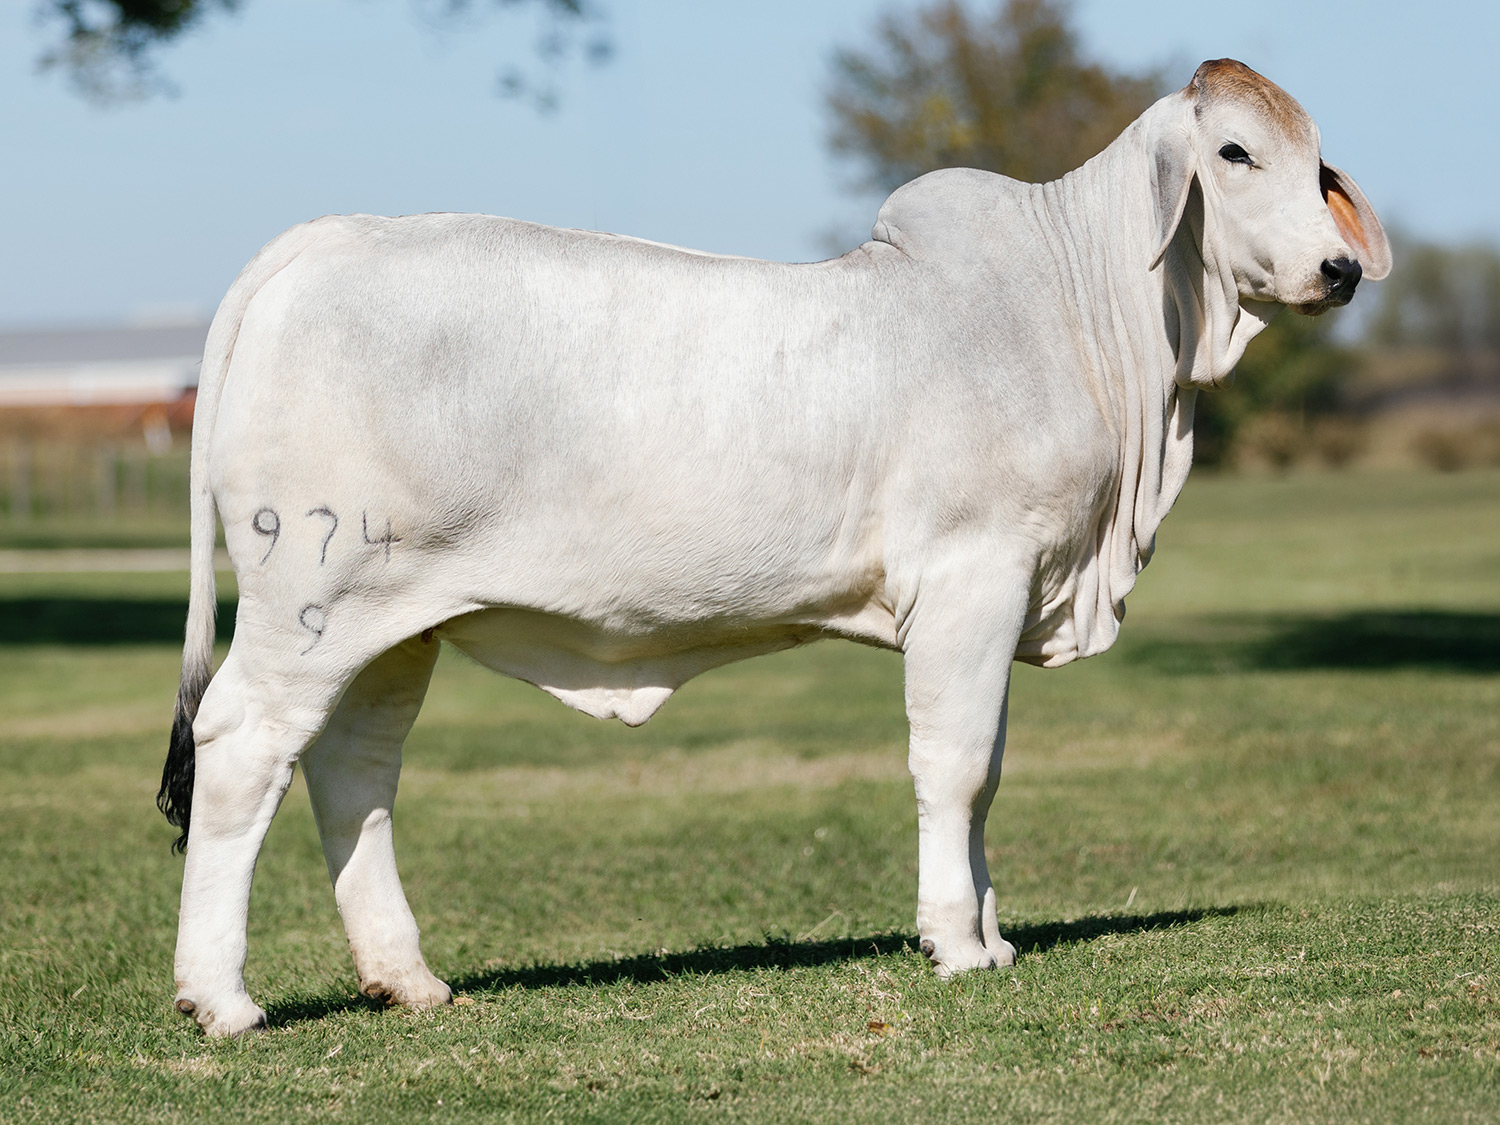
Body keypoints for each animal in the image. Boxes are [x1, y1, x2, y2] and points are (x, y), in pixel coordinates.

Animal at [158, 57, 1386, 1038]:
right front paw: (955, 941)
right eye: (1233, 151)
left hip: (393, 625)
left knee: (353, 768)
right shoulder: (974, 577)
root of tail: (330, 238)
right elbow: (956, 765)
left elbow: (987, 775)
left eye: (1316, 156)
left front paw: (993, 934)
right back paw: (221, 999)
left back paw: (406, 978)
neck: (1086, 320)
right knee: (241, 749)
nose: (1339, 269)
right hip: (307, 599)